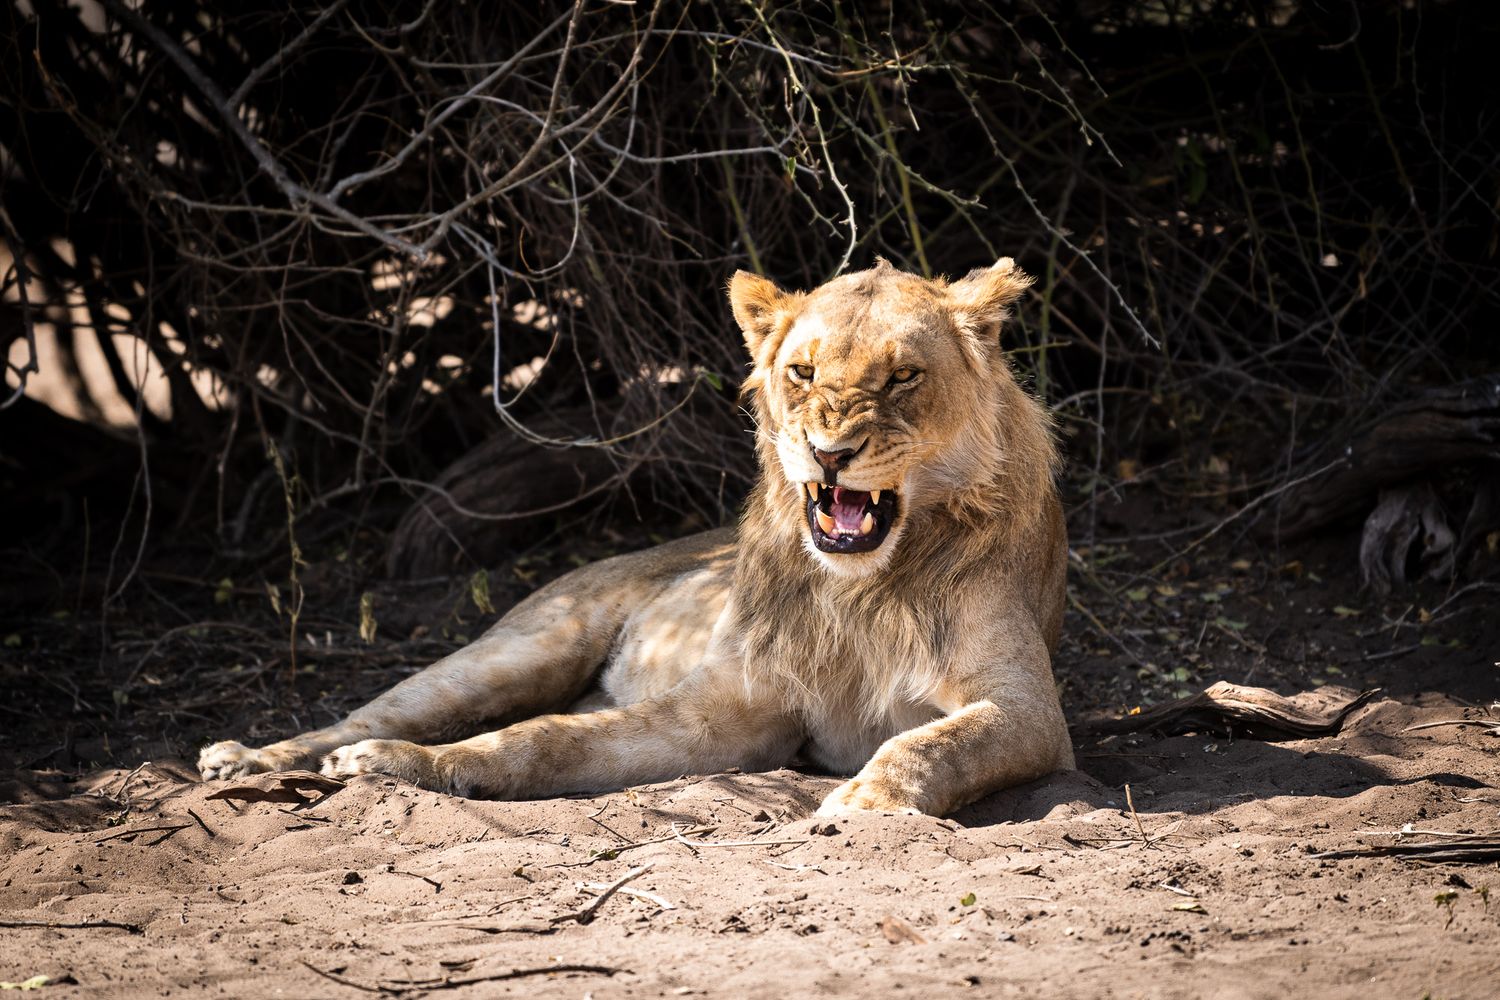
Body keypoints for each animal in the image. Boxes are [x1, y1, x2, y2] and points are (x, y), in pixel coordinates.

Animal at [197, 258, 1074, 816]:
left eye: (902, 377)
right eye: (801, 372)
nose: (828, 453)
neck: (858, 592)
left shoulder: (1029, 712)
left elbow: (935, 743)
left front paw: (867, 798)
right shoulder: (732, 709)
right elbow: (539, 739)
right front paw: (415, 770)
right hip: (521, 647)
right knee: (367, 715)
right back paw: (257, 759)